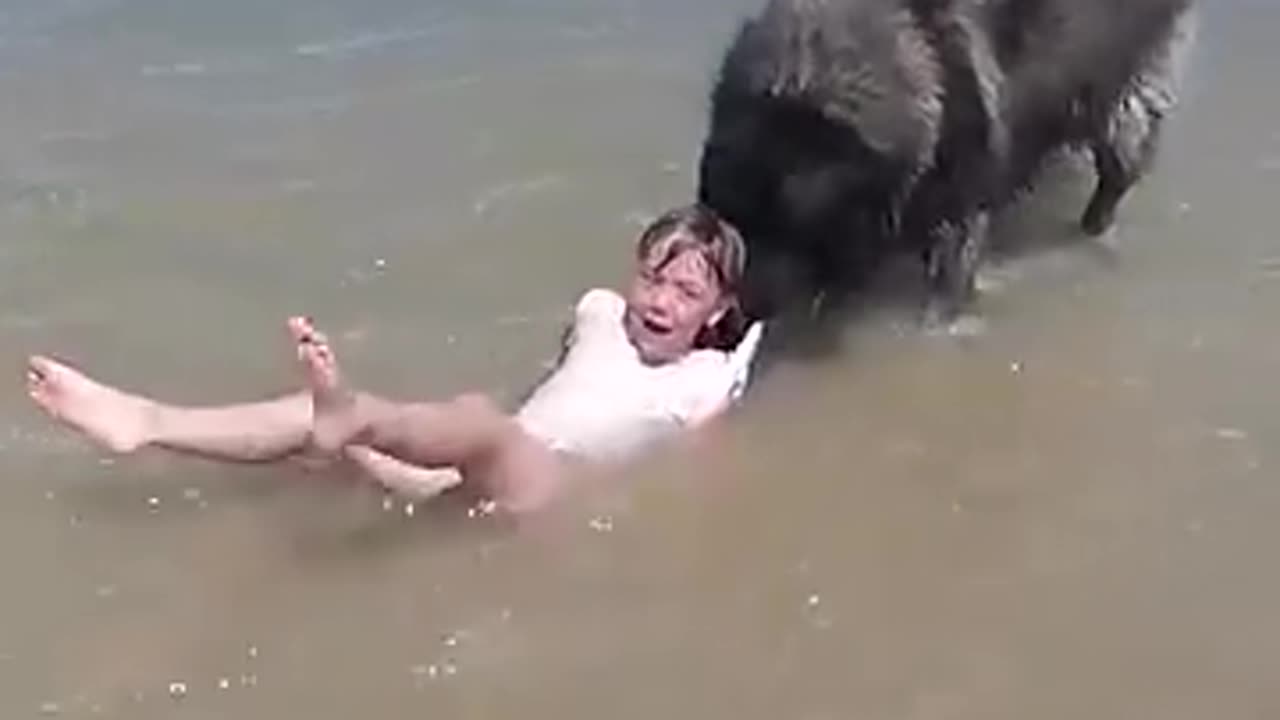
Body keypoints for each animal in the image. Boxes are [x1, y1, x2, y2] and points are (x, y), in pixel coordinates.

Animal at [696, 0, 1192, 322]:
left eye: (789, 219)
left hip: (1122, 87)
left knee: (1118, 164)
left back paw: (1096, 226)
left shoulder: (960, 194)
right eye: (739, 217)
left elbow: (949, 274)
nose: (742, 310)